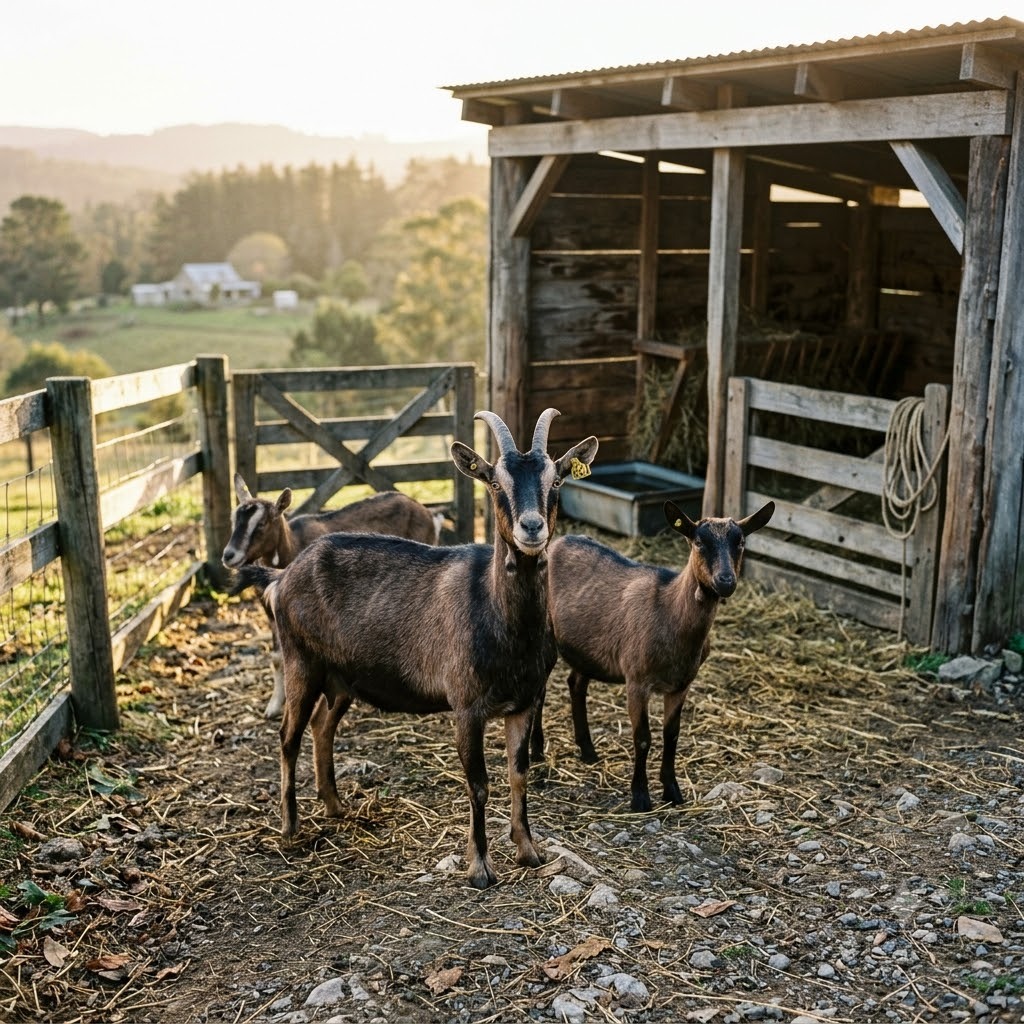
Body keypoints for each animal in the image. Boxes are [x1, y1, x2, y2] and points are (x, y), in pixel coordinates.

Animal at [223, 473, 443, 718]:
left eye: (261, 524)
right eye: (233, 520)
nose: (229, 555)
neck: (292, 546)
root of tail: (428, 513)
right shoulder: (272, 610)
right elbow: (277, 657)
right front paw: (273, 705)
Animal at [533, 498, 774, 811]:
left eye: (741, 541)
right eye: (699, 542)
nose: (725, 581)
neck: (670, 611)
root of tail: (557, 543)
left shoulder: (681, 685)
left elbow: (671, 735)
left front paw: (672, 791)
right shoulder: (637, 681)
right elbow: (643, 738)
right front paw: (640, 797)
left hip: (587, 650)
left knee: (576, 684)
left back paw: (587, 751)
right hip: (544, 638)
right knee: (539, 694)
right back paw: (536, 752)